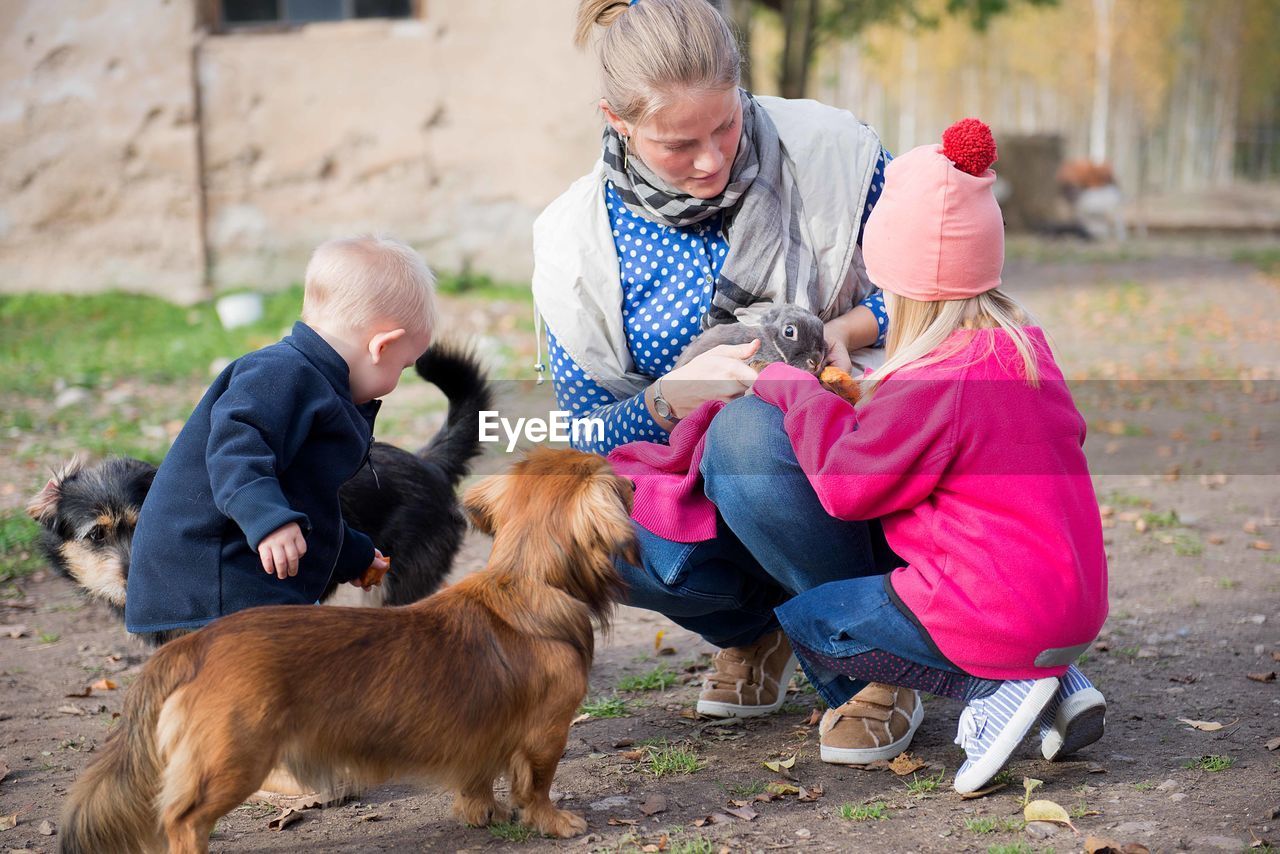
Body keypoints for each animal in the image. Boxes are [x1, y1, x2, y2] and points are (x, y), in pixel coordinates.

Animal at [58, 448, 634, 854]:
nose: (632, 480)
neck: (526, 581)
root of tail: (195, 645)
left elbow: (477, 779)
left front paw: (481, 814)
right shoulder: (547, 733)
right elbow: (536, 786)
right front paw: (554, 822)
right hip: (235, 759)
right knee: (182, 820)